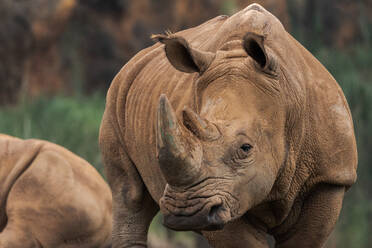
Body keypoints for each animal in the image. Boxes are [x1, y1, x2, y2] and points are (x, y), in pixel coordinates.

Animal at [99, 3, 358, 248]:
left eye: (246, 148)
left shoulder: (329, 178)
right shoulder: (227, 192)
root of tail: (135, 60)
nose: (186, 212)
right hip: (115, 96)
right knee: (129, 196)